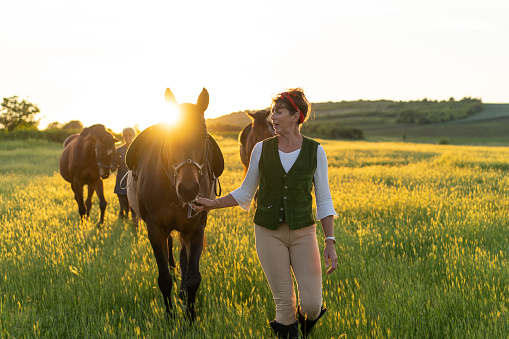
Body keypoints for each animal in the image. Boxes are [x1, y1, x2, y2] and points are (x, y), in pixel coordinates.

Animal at [126, 87, 222, 322]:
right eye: (171, 136)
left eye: (203, 137)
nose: (188, 189)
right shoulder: (155, 230)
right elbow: (164, 278)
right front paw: (169, 318)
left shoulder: (195, 229)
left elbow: (193, 276)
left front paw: (190, 316)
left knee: (182, 258)